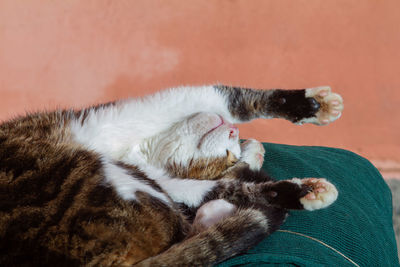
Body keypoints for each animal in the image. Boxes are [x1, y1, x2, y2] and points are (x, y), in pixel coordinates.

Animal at [0, 85, 344, 266]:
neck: (136, 152)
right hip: (101, 175)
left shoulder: (168, 181)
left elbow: (223, 187)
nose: (234, 133)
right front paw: (311, 105)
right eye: (228, 151)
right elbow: (225, 98)